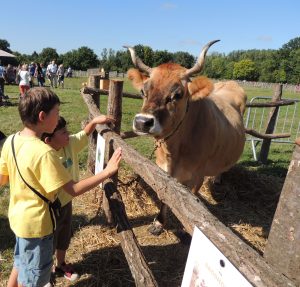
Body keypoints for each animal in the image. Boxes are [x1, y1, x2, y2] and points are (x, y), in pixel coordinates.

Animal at [125, 40, 246, 235]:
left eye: (177, 95)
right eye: (143, 91)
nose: (143, 122)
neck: (174, 151)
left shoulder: (196, 178)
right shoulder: (163, 170)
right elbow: (165, 197)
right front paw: (159, 223)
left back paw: (217, 178)